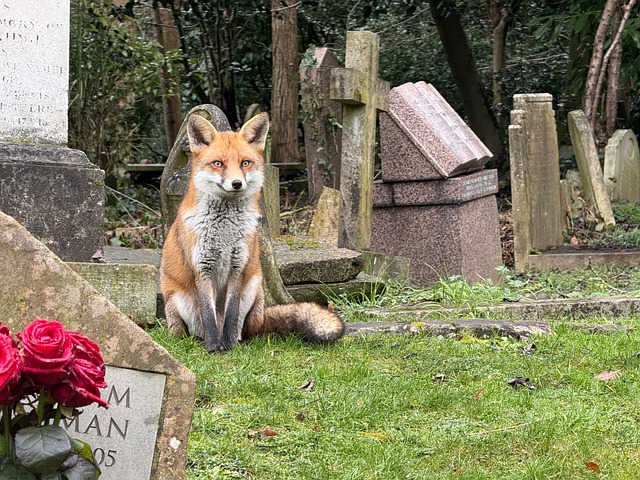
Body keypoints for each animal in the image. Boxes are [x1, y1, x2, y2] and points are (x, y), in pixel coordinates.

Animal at [159, 112, 346, 352]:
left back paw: (239, 341)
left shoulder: (237, 268)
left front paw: (229, 346)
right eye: (218, 164)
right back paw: (200, 341)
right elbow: (209, 317)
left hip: (254, 288)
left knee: (245, 329)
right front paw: (213, 348)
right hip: (178, 302)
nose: (236, 183)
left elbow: (231, 315)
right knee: (193, 330)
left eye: (245, 163)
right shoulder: (202, 268)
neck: (225, 231)